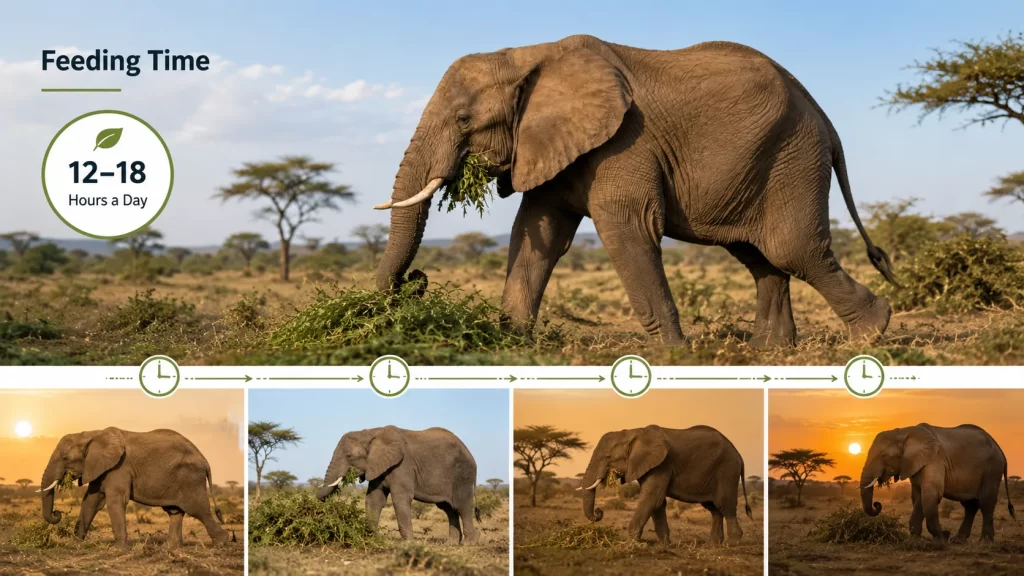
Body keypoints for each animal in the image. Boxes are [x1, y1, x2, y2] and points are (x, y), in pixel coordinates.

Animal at [37, 427, 228, 548]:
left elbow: (115, 501)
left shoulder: (119, 467)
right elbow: (90, 501)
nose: (57, 513)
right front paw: (74, 545)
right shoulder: (99, 468)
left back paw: (221, 544)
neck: (90, 433)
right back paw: (169, 549)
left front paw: (118, 550)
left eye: (65, 459)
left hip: (190, 479)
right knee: (175, 511)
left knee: (198, 510)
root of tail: (205, 460)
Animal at [316, 426, 480, 543]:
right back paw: (451, 544)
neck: (371, 433)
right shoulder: (378, 466)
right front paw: (373, 538)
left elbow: (400, 498)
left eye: (349, 456)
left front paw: (408, 544)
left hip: (462, 475)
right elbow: (374, 499)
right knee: (449, 509)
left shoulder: (402, 465)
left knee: (462, 506)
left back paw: (468, 544)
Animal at [372, 34, 898, 347]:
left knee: (792, 249)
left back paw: (873, 333)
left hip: (794, 157)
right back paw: (769, 352)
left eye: (464, 120)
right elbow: (535, 233)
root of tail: (823, 115)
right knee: (759, 255)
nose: (417, 280)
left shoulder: (626, 140)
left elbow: (627, 226)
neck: (529, 54)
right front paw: (511, 343)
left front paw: (673, 354)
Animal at [576, 424, 752, 544]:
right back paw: (713, 545)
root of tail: (739, 454)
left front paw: (630, 544)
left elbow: (651, 499)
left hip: (727, 470)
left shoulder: (662, 464)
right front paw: (664, 544)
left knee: (725, 505)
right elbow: (658, 502)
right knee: (714, 509)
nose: (599, 512)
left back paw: (732, 544)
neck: (633, 432)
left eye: (607, 457)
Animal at [860, 423, 1016, 542]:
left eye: (884, 456)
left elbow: (930, 495)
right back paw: (958, 540)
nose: (877, 504)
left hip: (992, 468)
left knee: (985, 503)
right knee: (970, 506)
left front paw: (940, 538)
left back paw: (985, 541)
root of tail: (1000, 449)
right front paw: (916, 539)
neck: (905, 432)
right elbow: (918, 497)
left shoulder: (935, 460)